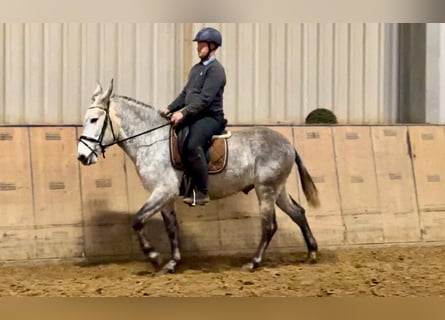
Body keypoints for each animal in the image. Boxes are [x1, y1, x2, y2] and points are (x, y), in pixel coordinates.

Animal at [76, 79, 320, 272]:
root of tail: (288, 144)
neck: (152, 141)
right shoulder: (164, 196)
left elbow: (137, 220)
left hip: (266, 190)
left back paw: (254, 262)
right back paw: (312, 253)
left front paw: (154, 257)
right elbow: (171, 228)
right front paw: (171, 263)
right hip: (277, 189)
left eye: (94, 120)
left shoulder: (163, 191)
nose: (81, 156)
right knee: (298, 213)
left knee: (269, 226)